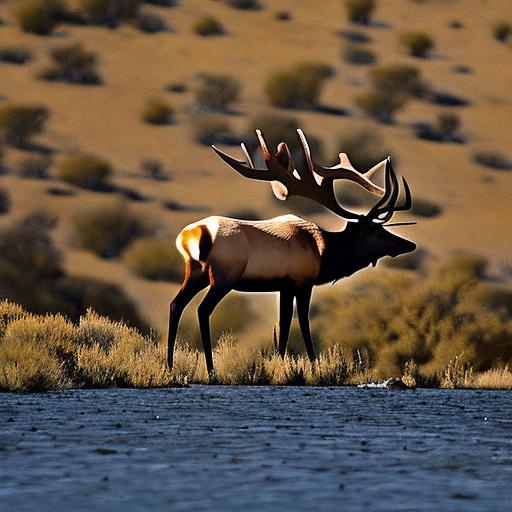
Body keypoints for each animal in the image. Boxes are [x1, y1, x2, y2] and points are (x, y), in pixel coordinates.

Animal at [168, 128, 416, 378]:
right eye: (375, 230)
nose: (408, 245)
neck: (324, 255)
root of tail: (191, 234)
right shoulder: (303, 281)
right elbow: (303, 323)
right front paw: (314, 367)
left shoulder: (284, 286)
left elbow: (284, 326)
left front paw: (280, 364)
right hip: (224, 276)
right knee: (202, 310)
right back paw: (211, 370)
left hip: (196, 273)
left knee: (176, 304)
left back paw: (170, 365)